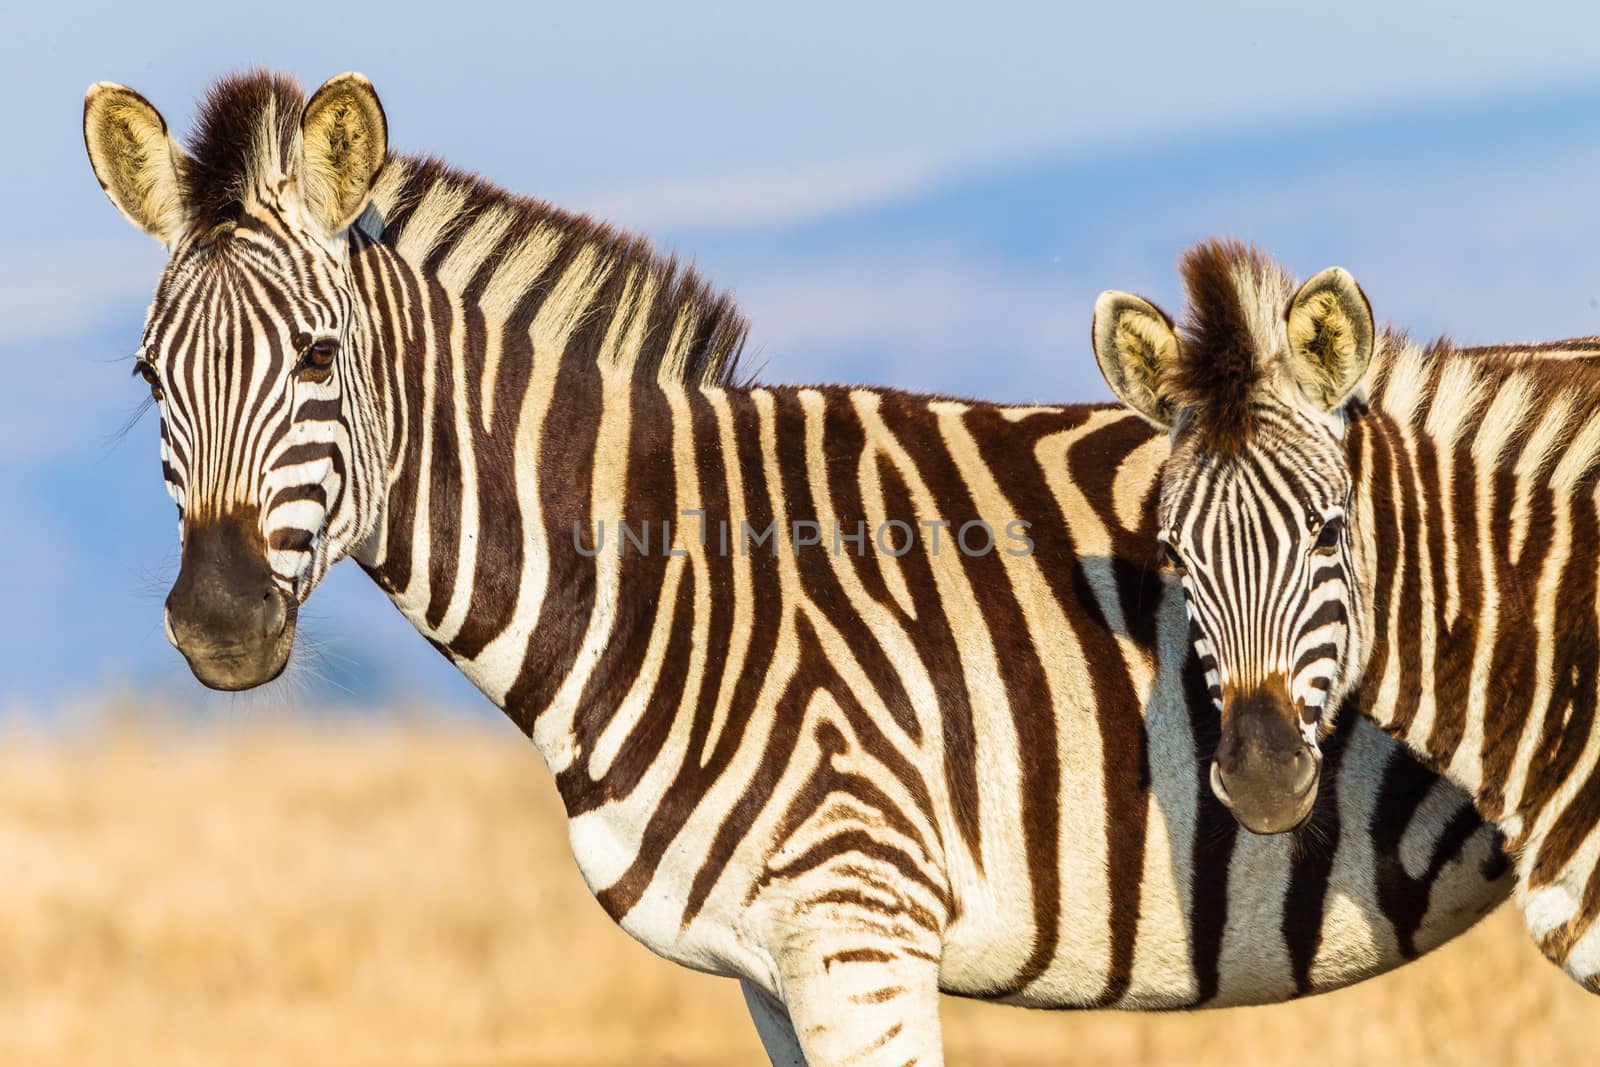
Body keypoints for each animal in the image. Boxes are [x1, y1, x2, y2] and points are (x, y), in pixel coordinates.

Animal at [84, 70, 1510, 1062]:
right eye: (150, 377)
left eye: (319, 357)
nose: (217, 625)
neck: (680, 581)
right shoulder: (770, 964)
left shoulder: (856, 929)